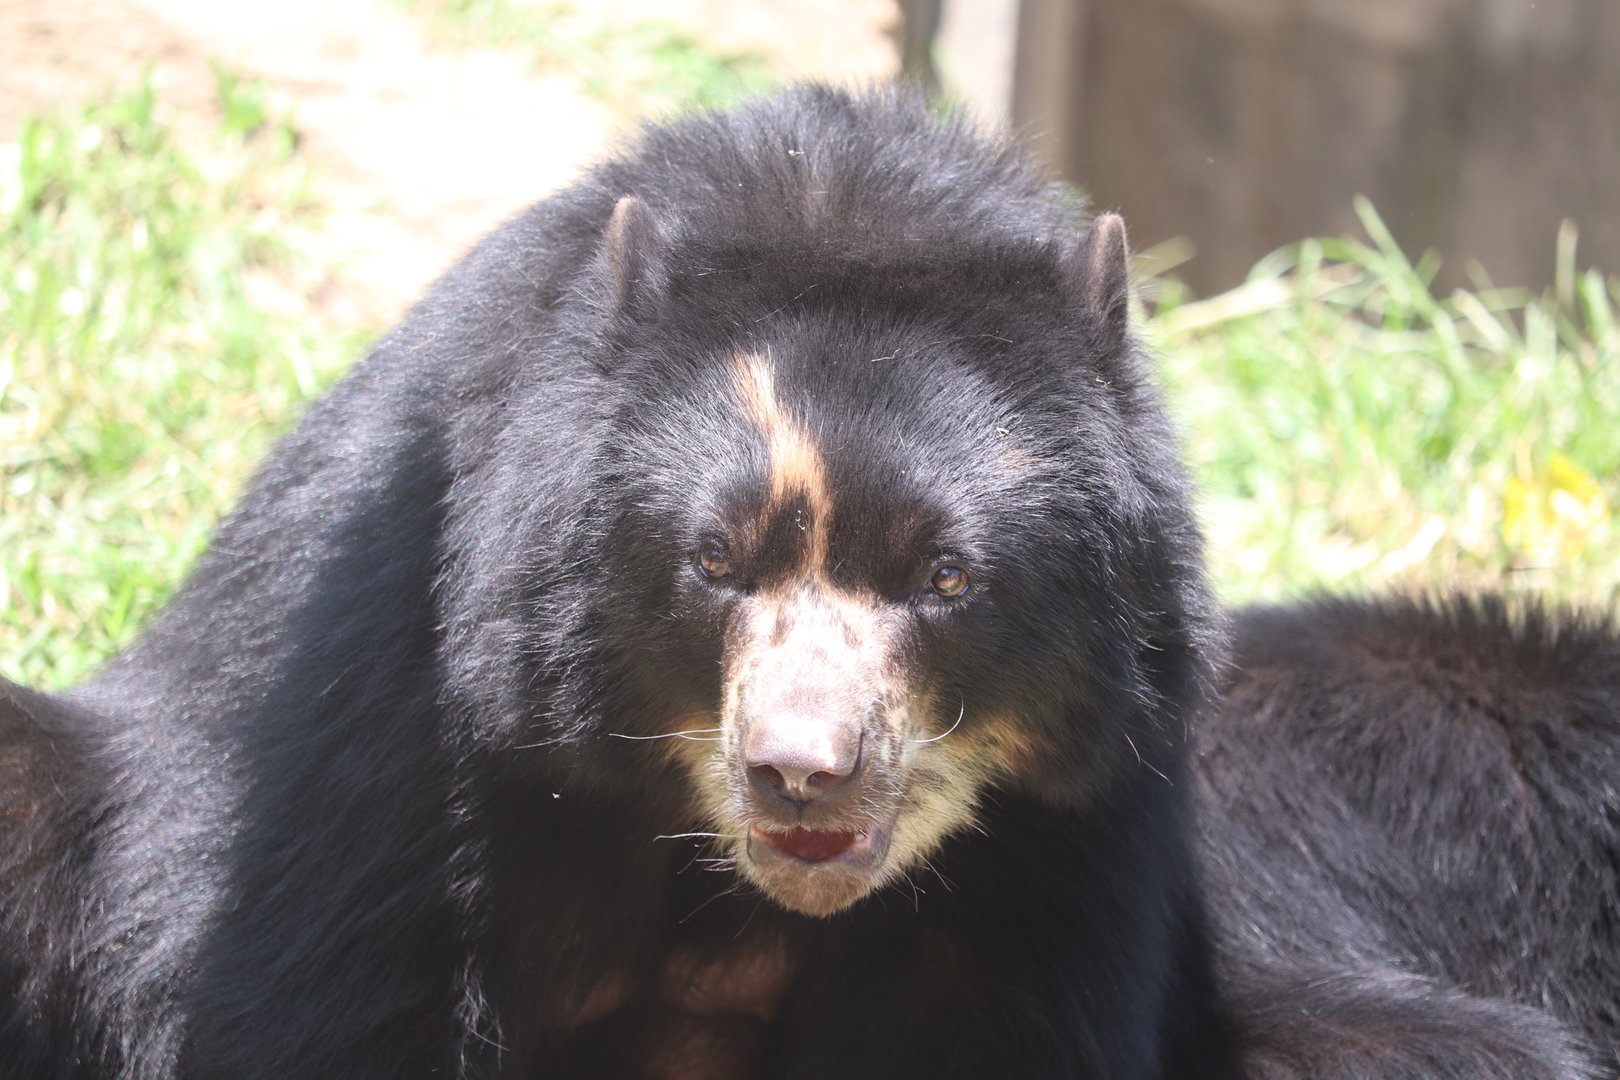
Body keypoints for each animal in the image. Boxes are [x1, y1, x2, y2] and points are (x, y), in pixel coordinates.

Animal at [0, 84, 1615, 1080]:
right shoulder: (409, 675)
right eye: (713, 562)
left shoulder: (1074, 826)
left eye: (947, 578)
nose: (800, 773)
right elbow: (333, 998)